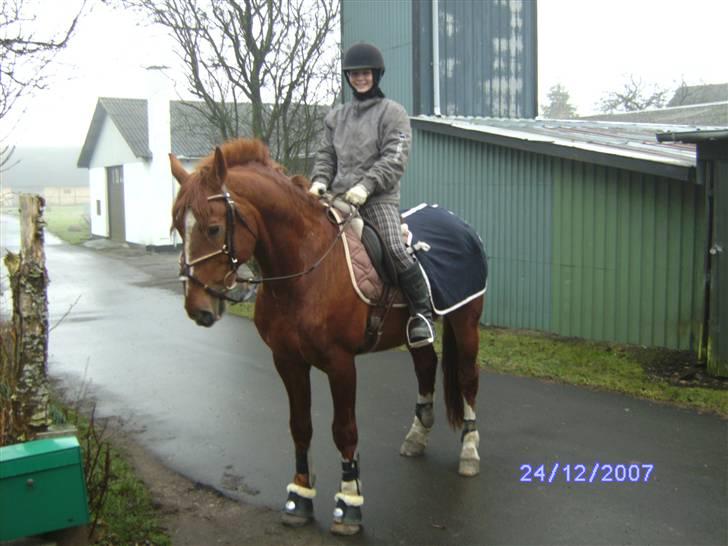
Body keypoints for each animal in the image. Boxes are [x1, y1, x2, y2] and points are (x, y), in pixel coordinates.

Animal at [171, 138, 486, 532]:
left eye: (213, 228)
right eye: (178, 227)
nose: (198, 308)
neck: (305, 269)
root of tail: (461, 225)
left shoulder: (340, 364)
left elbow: (344, 430)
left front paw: (349, 502)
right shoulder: (287, 362)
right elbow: (300, 426)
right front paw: (299, 497)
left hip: (466, 320)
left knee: (467, 378)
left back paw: (470, 451)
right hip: (416, 333)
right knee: (426, 366)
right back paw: (416, 436)